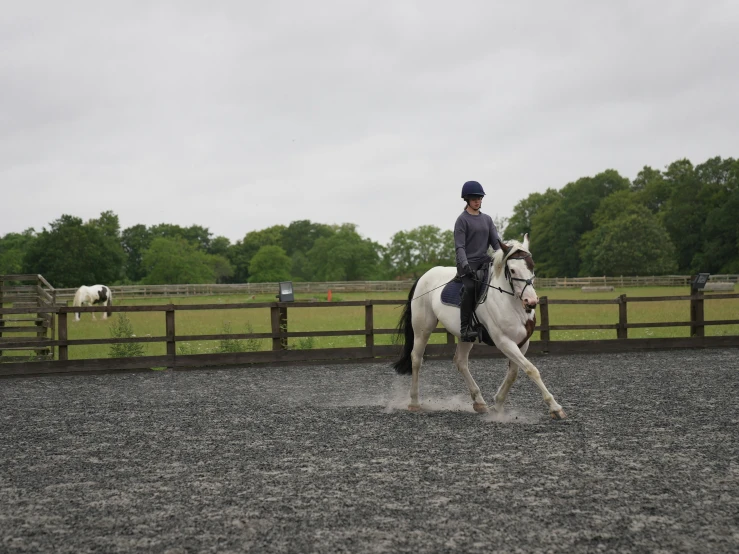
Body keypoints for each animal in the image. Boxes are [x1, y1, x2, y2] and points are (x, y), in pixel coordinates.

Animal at [394, 233, 568, 418]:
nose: (531, 301)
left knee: (460, 362)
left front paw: (497, 405)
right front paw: (555, 408)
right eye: (513, 270)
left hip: (465, 336)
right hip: (423, 329)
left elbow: (513, 374)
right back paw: (414, 402)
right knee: (416, 359)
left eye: (531, 266)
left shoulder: (522, 343)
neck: (510, 302)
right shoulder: (504, 342)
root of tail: (424, 276)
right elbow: (531, 369)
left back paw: (479, 402)